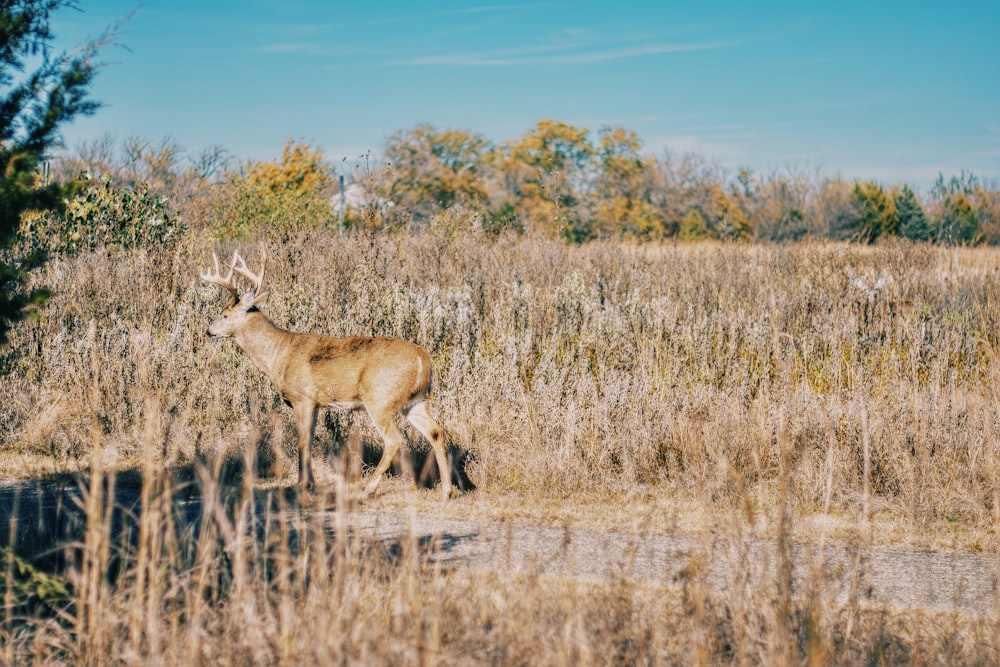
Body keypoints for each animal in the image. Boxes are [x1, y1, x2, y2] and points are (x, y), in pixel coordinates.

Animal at [199, 248, 454, 498]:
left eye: (224, 314)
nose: (209, 330)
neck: (279, 355)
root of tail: (423, 361)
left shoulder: (303, 398)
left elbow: (302, 443)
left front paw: (302, 486)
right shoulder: (316, 404)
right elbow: (309, 441)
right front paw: (309, 482)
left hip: (380, 398)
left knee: (394, 439)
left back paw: (368, 488)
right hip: (416, 401)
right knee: (435, 431)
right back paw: (447, 490)